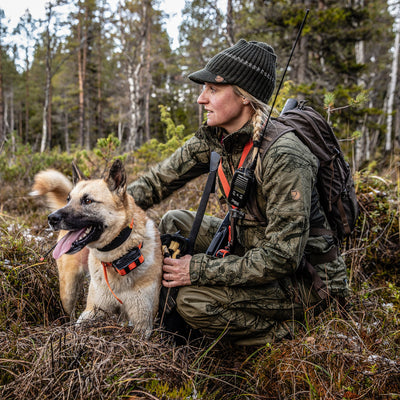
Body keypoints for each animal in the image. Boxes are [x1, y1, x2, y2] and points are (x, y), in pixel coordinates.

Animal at [30, 159, 163, 338]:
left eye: (87, 201)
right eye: (68, 199)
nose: (51, 219)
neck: (117, 259)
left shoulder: (142, 323)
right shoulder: (91, 312)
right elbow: (79, 327)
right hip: (67, 291)